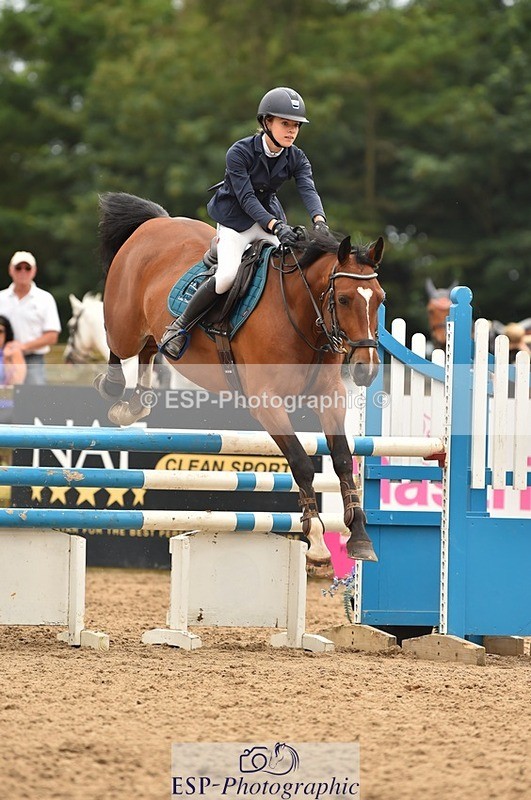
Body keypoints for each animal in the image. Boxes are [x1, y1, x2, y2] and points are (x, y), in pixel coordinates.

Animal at [95, 191, 385, 565]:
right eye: (345, 299)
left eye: (380, 300)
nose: (367, 368)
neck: (301, 313)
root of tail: (156, 222)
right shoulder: (267, 402)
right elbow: (301, 463)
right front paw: (317, 540)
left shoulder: (330, 396)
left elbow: (343, 460)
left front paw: (360, 537)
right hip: (125, 325)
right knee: (120, 347)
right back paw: (115, 391)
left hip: (149, 331)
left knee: (149, 350)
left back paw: (136, 405)